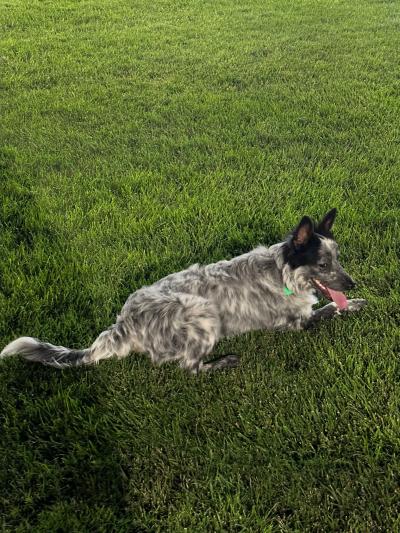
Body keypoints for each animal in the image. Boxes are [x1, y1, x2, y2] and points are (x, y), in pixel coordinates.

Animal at [0, 206, 368, 372]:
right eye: (323, 265)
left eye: (337, 258)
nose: (352, 283)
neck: (283, 274)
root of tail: (124, 324)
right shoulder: (296, 323)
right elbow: (331, 309)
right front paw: (353, 304)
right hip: (204, 313)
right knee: (188, 366)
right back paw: (223, 362)